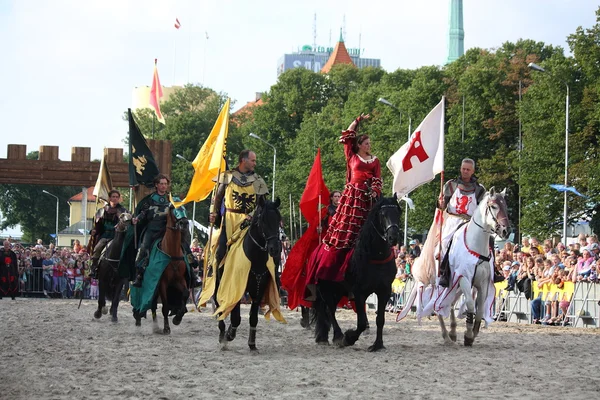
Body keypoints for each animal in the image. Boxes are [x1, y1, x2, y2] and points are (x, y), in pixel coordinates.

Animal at [214, 198, 282, 352]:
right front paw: (229, 335)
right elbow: (236, 317)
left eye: (278, 219)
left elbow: (253, 318)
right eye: (263, 220)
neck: (255, 256)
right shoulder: (236, 287)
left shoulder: (258, 290)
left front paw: (252, 344)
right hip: (218, 284)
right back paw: (222, 335)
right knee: (219, 305)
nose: (275, 249)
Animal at [314, 196, 398, 350]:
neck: (376, 255)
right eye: (382, 214)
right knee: (330, 311)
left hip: (338, 291)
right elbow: (361, 323)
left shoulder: (384, 291)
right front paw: (349, 338)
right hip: (326, 289)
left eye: (398, 213)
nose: (393, 237)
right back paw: (338, 336)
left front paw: (378, 344)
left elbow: (380, 319)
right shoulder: (359, 293)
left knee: (330, 310)